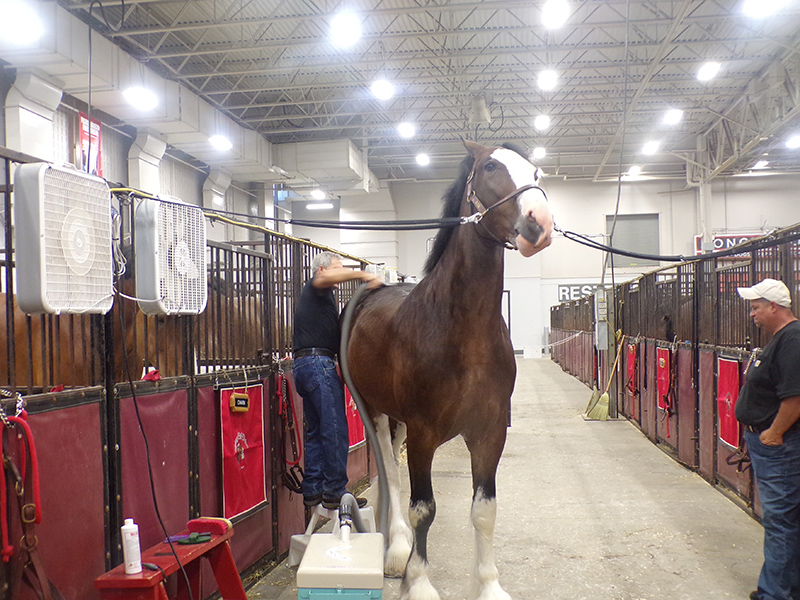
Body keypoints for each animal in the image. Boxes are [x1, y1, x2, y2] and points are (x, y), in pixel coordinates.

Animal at [346, 141, 552, 600]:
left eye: (536, 172)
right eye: (490, 166)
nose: (539, 224)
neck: (463, 331)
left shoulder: (488, 433)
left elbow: (484, 511)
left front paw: (489, 585)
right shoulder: (424, 435)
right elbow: (423, 509)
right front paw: (419, 581)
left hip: (399, 421)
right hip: (375, 412)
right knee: (391, 474)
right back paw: (396, 549)